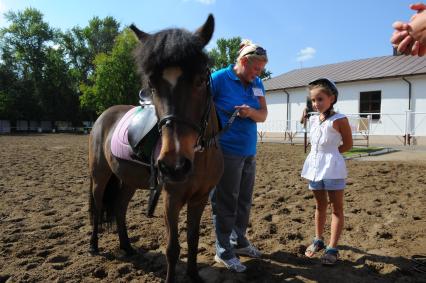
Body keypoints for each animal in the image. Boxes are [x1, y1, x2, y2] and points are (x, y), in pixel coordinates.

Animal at [88, 15, 225, 283]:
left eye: (200, 80)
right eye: (151, 85)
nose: (174, 166)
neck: (200, 156)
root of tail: (104, 116)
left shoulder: (200, 198)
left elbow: (193, 240)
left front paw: (194, 275)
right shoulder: (171, 199)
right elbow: (173, 248)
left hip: (128, 180)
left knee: (119, 208)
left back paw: (127, 246)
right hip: (100, 176)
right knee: (98, 207)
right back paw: (94, 246)